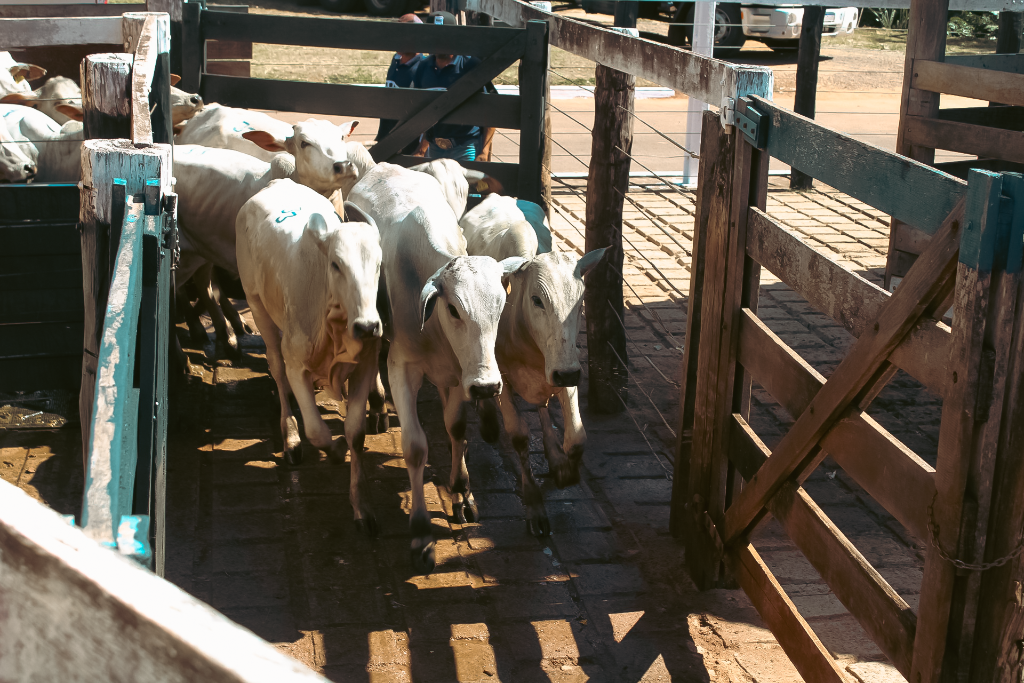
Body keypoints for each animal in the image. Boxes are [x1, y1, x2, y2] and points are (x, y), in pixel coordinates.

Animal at [235, 179, 385, 532]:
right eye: (336, 264)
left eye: (378, 264)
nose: (368, 326)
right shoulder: (296, 363)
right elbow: (317, 432)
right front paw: (334, 451)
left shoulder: (366, 366)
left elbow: (355, 433)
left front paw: (362, 505)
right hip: (257, 304)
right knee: (276, 370)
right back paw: (290, 435)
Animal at [350, 162, 532, 573]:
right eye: (453, 309)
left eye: (501, 304)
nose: (487, 387)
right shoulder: (401, 367)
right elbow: (415, 447)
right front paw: (420, 533)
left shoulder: (458, 375)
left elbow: (456, 427)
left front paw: (461, 491)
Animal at [460, 193, 602, 540]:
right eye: (537, 300)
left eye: (581, 301)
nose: (565, 373)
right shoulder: (504, 382)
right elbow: (519, 437)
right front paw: (534, 504)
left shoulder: (566, 367)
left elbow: (575, 436)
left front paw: (566, 472)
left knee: (542, 408)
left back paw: (554, 456)